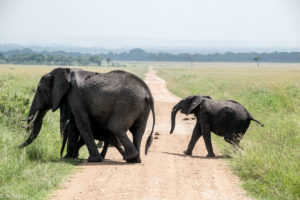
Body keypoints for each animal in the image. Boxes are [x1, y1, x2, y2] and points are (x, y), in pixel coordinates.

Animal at [19, 67, 155, 162]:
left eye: (40, 90)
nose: (16, 147)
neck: (64, 71)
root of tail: (148, 92)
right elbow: (73, 125)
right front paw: (69, 158)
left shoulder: (75, 96)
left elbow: (81, 123)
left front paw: (93, 160)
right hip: (141, 107)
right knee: (138, 131)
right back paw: (135, 160)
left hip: (128, 104)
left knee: (115, 126)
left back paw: (129, 156)